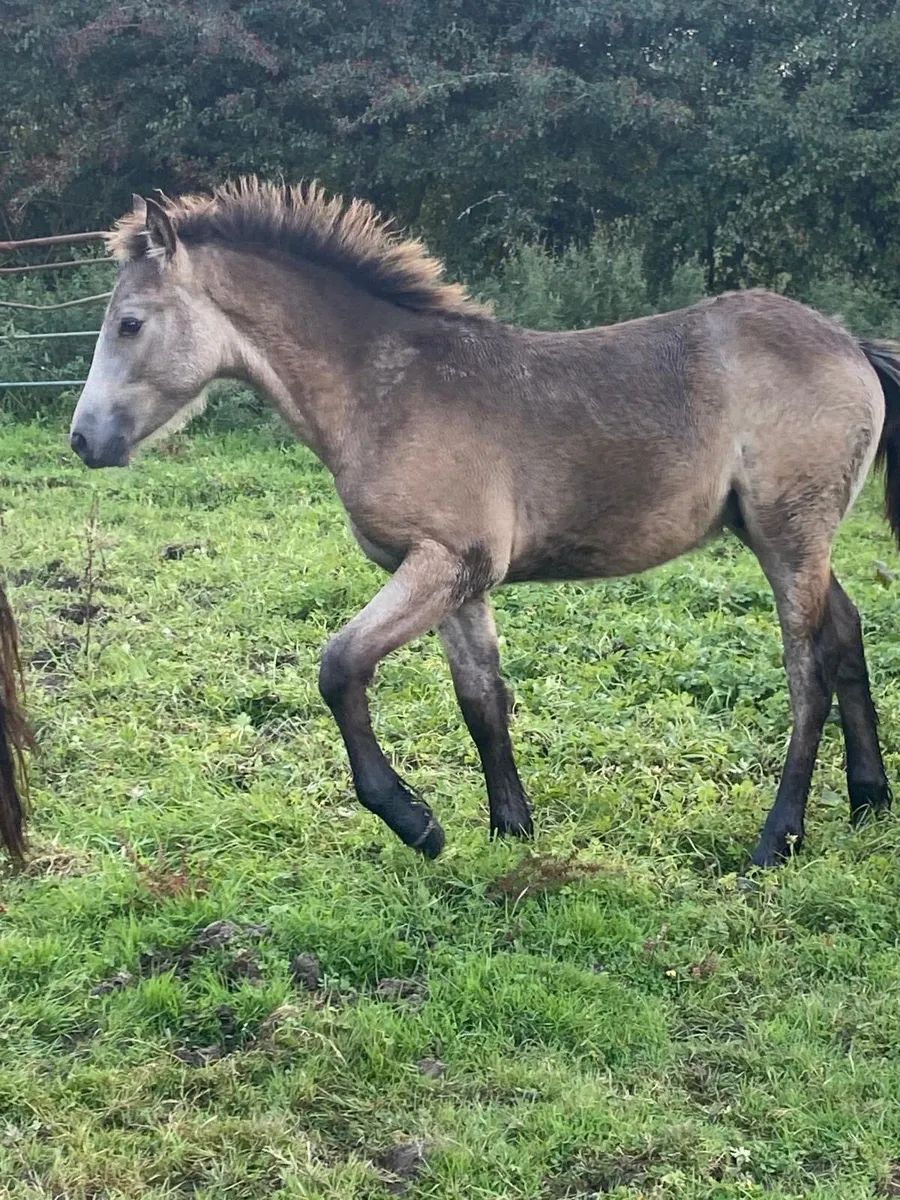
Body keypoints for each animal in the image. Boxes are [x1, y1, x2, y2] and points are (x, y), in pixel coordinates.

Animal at [68, 178, 900, 867]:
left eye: (130, 324)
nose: (83, 440)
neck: (387, 390)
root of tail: (849, 342)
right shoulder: (456, 581)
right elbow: (481, 700)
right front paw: (511, 831)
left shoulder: (447, 560)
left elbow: (340, 666)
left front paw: (415, 822)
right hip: (785, 538)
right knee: (846, 634)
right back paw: (869, 801)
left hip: (789, 535)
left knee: (807, 671)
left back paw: (779, 837)